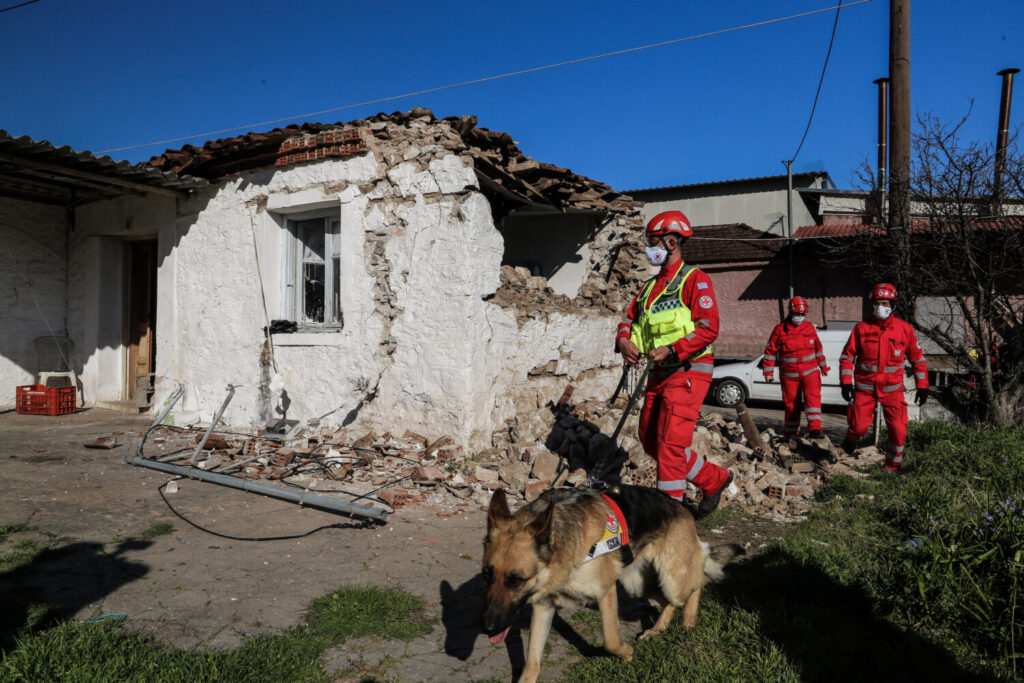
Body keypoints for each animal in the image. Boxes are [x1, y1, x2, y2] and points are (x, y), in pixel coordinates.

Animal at [483, 485, 741, 683]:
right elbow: (531, 661)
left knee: (696, 583)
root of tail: (682, 508)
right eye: (487, 575)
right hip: (636, 583)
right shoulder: (543, 606)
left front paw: (626, 655)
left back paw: (688, 621)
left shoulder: (605, 592)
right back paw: (657, 630)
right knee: (666, 601)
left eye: (516, 580)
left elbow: (610, 641)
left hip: (673, 579)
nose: (488, 628)